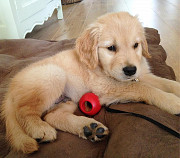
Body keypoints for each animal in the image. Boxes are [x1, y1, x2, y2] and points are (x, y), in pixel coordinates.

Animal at [1, 12, 180, 153]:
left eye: (136, 45)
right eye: (111, 48)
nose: (130, 70)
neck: (100, 67)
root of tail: (11, 87)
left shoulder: (142, 74)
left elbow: (165, 83)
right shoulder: (106, 87)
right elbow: (142, 87)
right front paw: (171, 101)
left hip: (68, 99)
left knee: (52, 116)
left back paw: (88, 128)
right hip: (54, 75)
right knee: (23, 111)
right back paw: (41, 129)